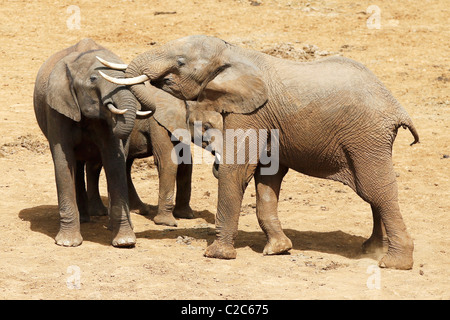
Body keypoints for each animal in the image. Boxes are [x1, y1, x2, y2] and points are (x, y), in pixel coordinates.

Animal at [33, 38, 155, 248]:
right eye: (93, 79)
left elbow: (114, 160)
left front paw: (125, 242)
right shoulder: (56, 109)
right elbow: (63, 160)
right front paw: (68, 243)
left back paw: (102, 217)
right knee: (77, 164)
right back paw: (85, 218)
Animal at [98, 35, 418, 270]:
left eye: (180, 62)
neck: (232, 52)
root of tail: (397, 107)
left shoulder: (251, 112)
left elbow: (237, 169)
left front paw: (217, 255)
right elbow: (267, 178)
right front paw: (278, 249)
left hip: (366, 136)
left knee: (377, 189)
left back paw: (393, 263)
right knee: (369, 191)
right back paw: (371, 249)